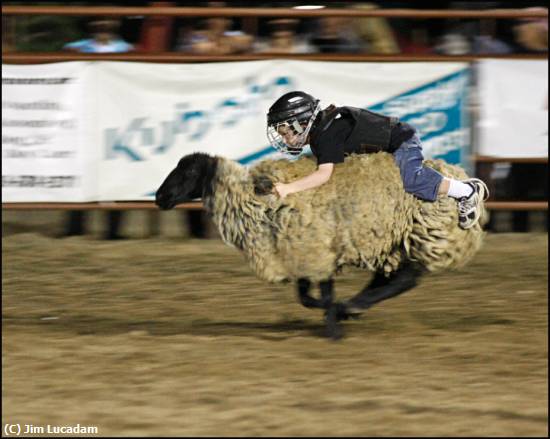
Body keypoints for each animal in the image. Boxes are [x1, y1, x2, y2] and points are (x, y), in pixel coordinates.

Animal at [155, 151, 488, 340]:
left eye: (188, 172)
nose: (159, 197)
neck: (251, 200)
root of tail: (458, 174)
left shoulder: (317, 250)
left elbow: (322, 294)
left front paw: (334, 327)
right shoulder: (302, 255)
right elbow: (305, 297)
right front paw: (333, 316)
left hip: (422, 234)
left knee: (407, 277)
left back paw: (352, 306)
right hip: (394, 241)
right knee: (393, 277)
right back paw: (354, 307)